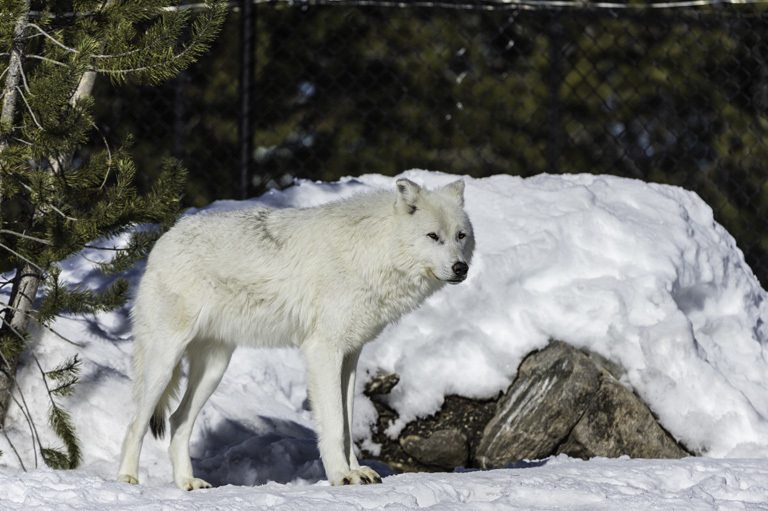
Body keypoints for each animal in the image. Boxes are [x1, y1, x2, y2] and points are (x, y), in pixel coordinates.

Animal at [115, 178, 474, 490]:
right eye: (433, 236)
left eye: (460, 236)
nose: (461, 268)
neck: (371, 252)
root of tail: (163, 239)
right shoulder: (323, 351)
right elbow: (334, 425)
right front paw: (341, 476)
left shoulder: (350, 356)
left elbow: (347, 427)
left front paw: (356, 471)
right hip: (164, 363)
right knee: (135, 424)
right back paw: (127, 479)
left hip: (214, 369)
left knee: (178, 421)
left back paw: (186, 483)